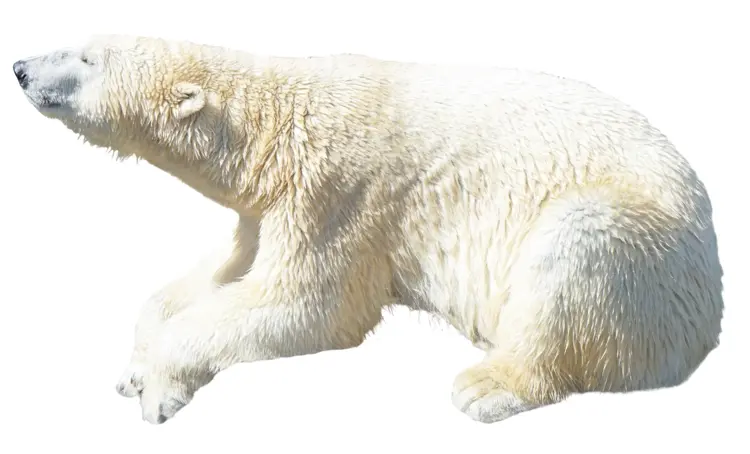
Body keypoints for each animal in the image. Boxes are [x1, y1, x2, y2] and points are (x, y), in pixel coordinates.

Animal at [13, 34, 724, 425]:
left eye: (86, 57)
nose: (19, 68)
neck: (273, 124)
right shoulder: (270, 206)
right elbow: (223, 272)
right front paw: (135, 367)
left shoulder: (338, 192)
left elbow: (310, 306)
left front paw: (161, 390)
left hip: (641, 249)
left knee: (574, 251)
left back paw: (487, 385)